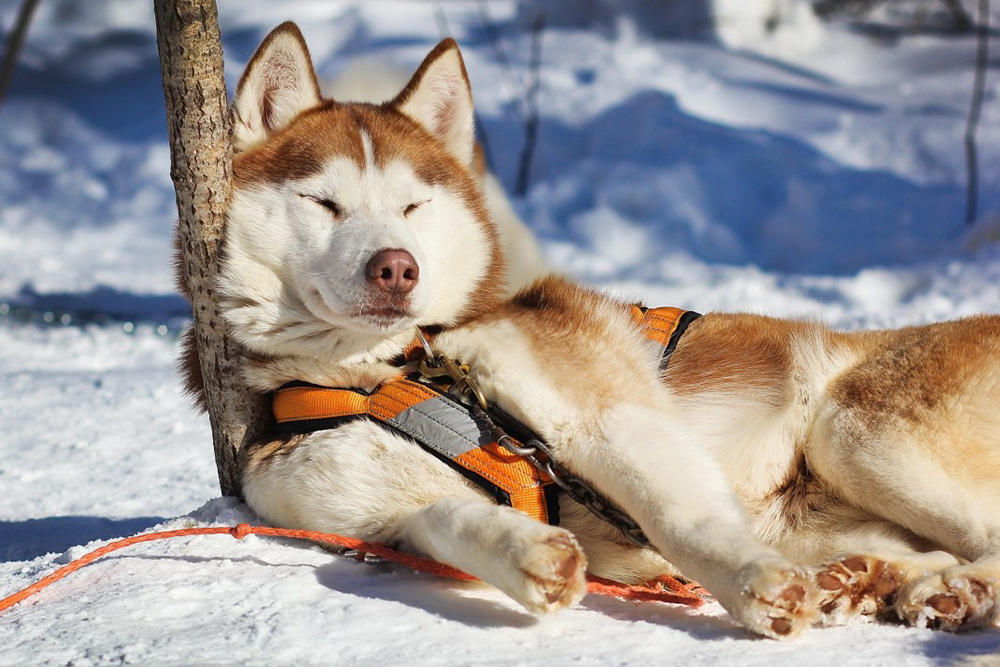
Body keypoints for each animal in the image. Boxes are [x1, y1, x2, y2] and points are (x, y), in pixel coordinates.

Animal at [188, 23, 1000, 640]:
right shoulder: (367, 513)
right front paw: (528, 554)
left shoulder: (607, 418)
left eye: (414, 206)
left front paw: (753, 584)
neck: (394, 370)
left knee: (986, 533)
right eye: (323, 202)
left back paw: (952, 590)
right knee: (922, 549)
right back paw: (879, 580)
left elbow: (682, 520)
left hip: (853, 428)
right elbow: (443, 516)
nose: (396, 268)